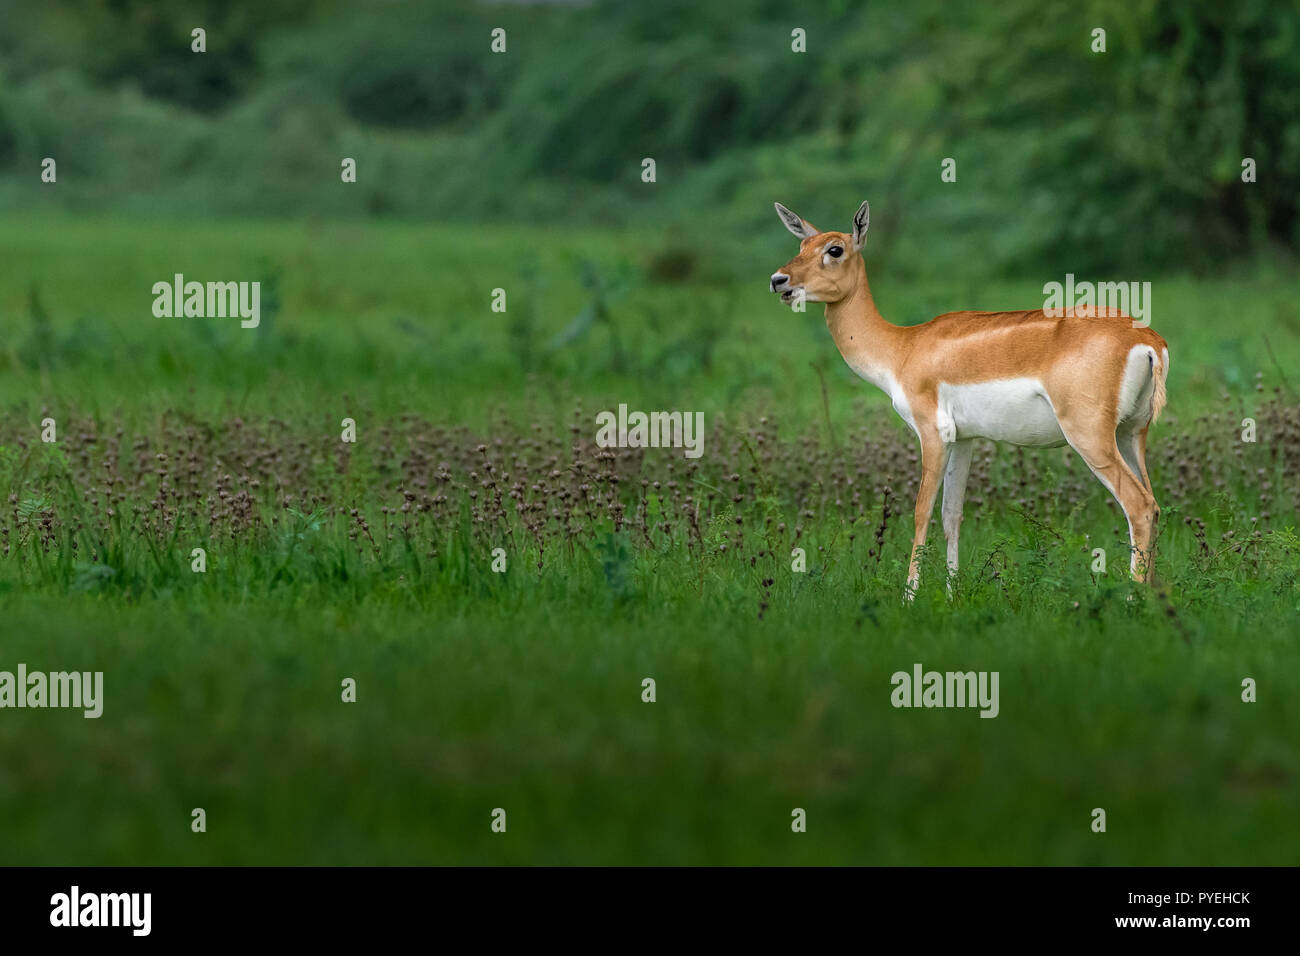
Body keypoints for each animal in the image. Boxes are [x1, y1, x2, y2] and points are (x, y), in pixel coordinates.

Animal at [764, 197, 1175, 595]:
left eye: (834, 249)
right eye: (801, 246)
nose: (778, 280)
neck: (903, 348)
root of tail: (1147, 340)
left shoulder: (932, 433)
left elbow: (921, 510)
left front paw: (909, 597)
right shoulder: (964, 439)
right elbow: (952, 514)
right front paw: (951, 594)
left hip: (1090, 435)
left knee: (1138, 506)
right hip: (1130, 434)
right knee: (1154, 505)